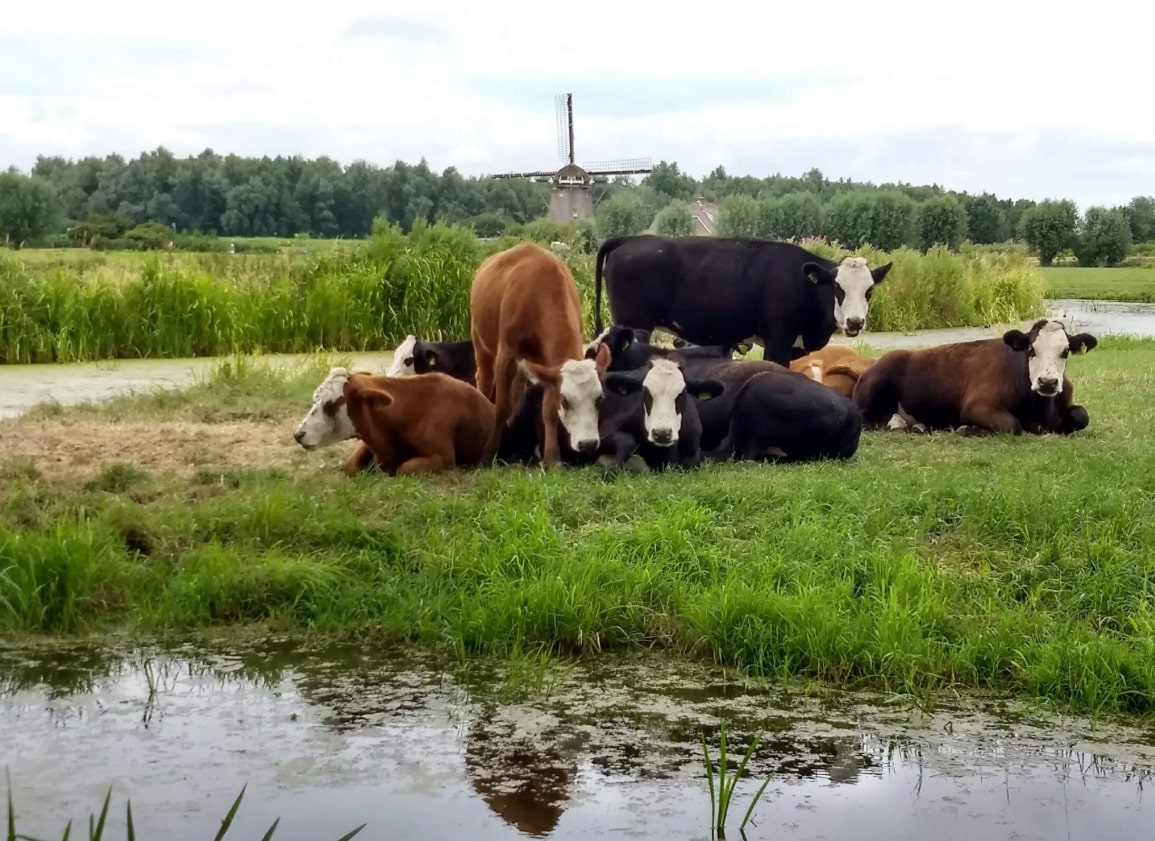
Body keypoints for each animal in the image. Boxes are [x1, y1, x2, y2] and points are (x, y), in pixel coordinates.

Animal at [468, 241, 595, 466]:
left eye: (598, 399)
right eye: (566, 401)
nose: (588, 444)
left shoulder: (549, 365)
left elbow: (548, 410)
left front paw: (552, 458)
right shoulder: (506, 354)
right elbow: (501, 407)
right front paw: (489, 454)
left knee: (517, 390)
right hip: (480, 342)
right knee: (484, 380)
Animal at [854, 314, 1094, 434]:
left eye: (1065, 351)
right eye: (1031, 350)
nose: (1047, 382)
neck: (1039, 413)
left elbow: (1082, 415)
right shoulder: (977, 406)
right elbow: (1012, 425)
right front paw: (967, 428)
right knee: (869, 419)